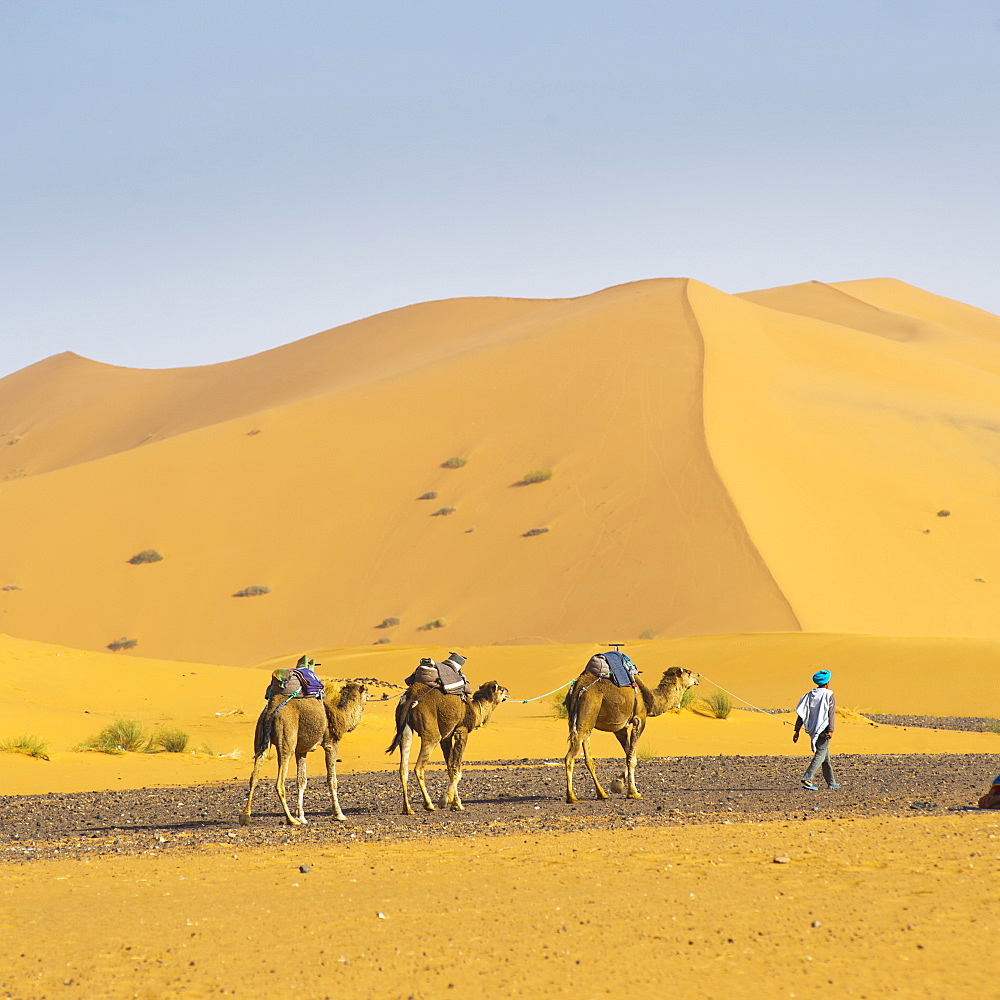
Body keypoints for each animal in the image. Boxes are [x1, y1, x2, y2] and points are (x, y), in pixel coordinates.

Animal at [239, 680, 368, 828]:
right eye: (366, 692)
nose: (370, 696)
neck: (342, 715)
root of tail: (272, 710)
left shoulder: (301, 751)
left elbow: (301, 780)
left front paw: (301, 816)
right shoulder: (330, 744)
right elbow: (332, 779)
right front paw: (339, 814)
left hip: (260, 736)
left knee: (254, 776)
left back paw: (245, 816)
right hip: (286, 738)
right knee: (279, 782)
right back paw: (290, 819)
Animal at [384, 680, 508, 812]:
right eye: (501, 690)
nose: (507, 691)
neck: (475, 710)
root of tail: (409, 697)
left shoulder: (446, 737)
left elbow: (450, 768)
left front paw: (456, 803)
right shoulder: (461, 730)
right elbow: (457, 769)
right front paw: (446, 801)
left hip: (405, 728)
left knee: (403, 768)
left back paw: (407, 809)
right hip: (431, 730)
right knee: (419, 767)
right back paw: (429, 804)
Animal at [568, 664, 700, 804]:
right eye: (688, 672)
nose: (698, 676)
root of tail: (577, 689)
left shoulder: (620, 728)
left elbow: (628, 754)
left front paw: (618, 783)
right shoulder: (639, 719)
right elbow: (632, 758)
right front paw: (633, 792)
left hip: (584, 723)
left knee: (588, 759)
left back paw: (602, 793)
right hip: (586, 713)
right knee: (570, 756)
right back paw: (571, 797)